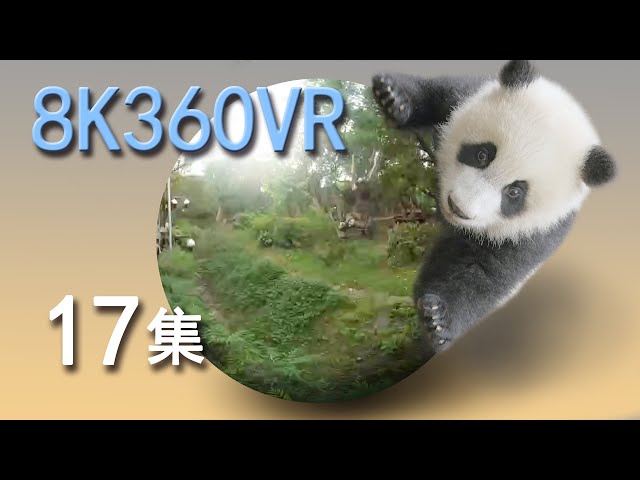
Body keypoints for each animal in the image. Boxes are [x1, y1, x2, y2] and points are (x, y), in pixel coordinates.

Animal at [372, 60, 616, 355]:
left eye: (514, 192)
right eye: (482, 154)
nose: (458, 207)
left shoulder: (536, 232)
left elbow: (481, 271)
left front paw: (439, 320)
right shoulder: (466, 95)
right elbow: (437, 94)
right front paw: (393, 98)